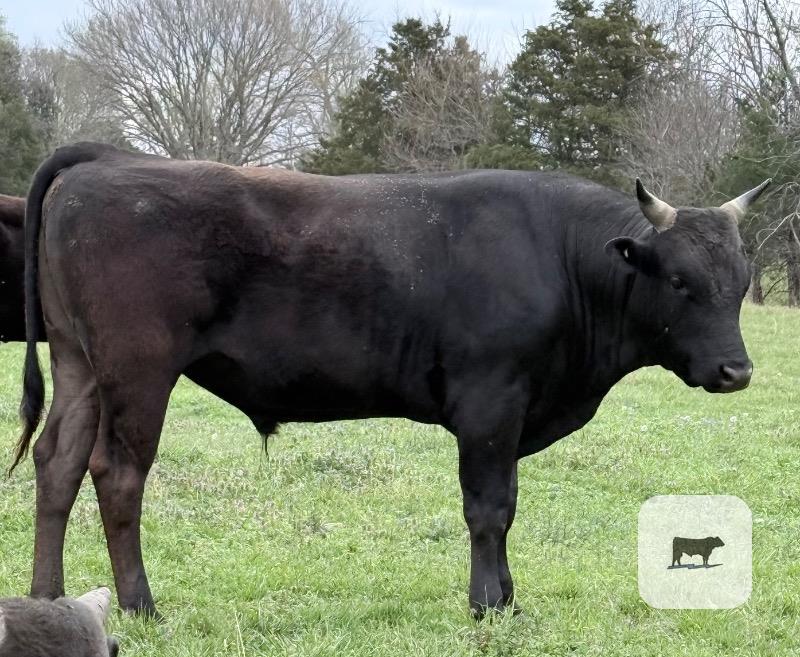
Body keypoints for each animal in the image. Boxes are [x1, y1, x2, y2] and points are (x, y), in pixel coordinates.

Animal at [10, 142, 769, 618]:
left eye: (738, 284)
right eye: (680, 282)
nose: (736, 371)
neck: (560, 256)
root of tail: (110, 158)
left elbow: (507, 507)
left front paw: (509, 598)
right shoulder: (489, 405)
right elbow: (488, 508)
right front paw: (487, 604)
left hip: (78, 364)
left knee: (57, 462)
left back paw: (47, 597)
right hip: (138, 372)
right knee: (117, 474)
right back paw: (141, 605)